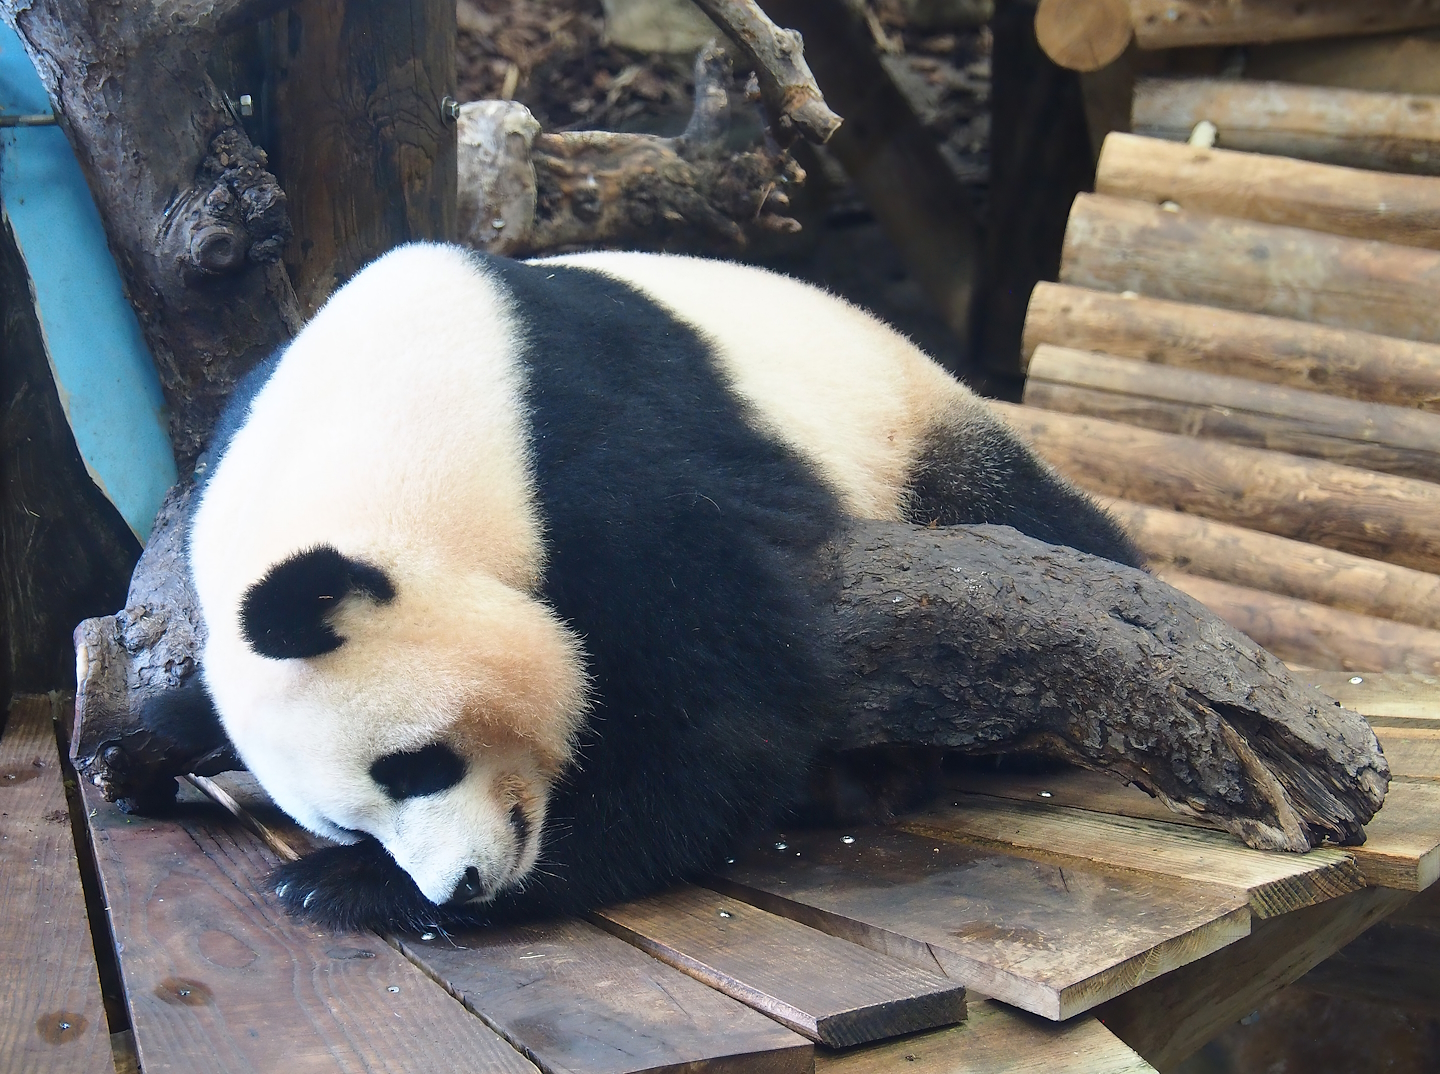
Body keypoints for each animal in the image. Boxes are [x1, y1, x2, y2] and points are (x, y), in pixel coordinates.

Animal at [174, 243, 1140, 932]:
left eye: (415, 766)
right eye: (354, 816)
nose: (463, 886)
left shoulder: (593, 455)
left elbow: (721, 707)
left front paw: (346, 887)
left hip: (907, 425)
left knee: (1032, 518)